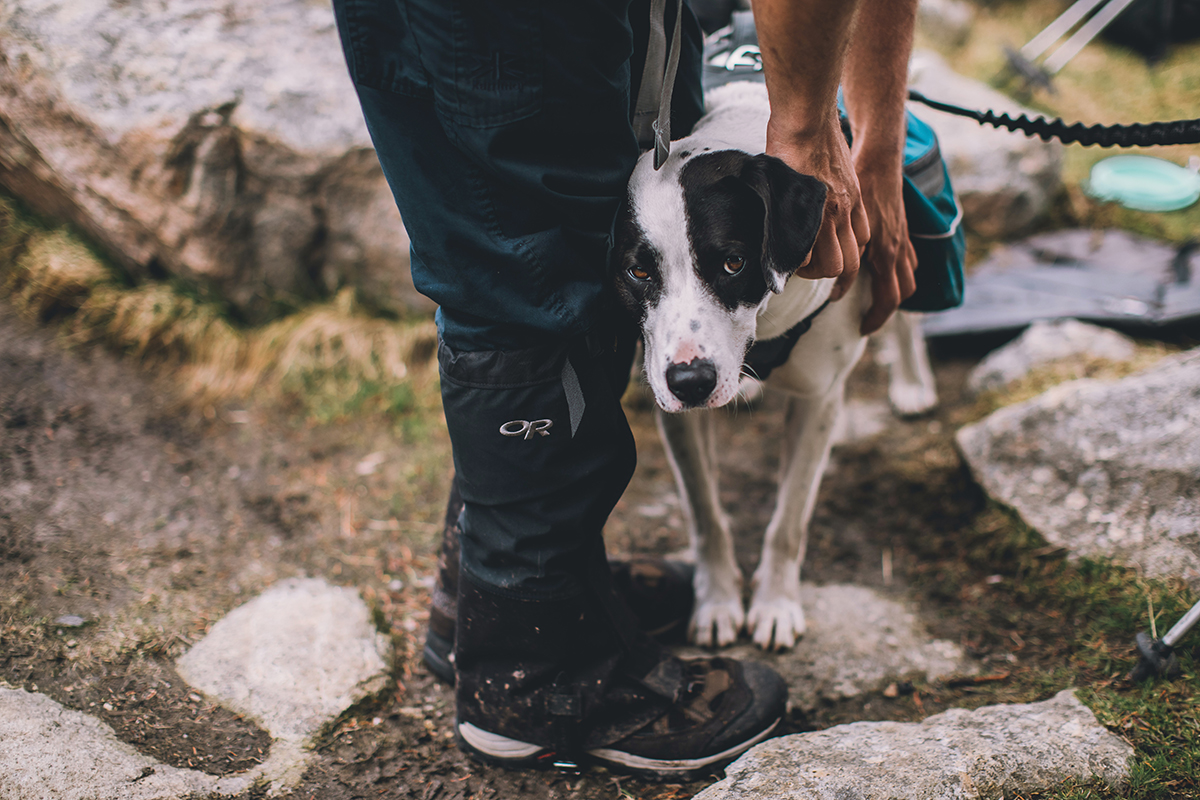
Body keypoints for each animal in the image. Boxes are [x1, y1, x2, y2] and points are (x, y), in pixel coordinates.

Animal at [609, 82, 936, 652]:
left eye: (733, 262)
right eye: (639, 272)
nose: (691, 383)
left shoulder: (816, 401)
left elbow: (788, 519)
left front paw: (775, 605)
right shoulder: (676, 414)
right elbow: (705, 516)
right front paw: (717, 601)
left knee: (903, 320)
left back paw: (913, 384)